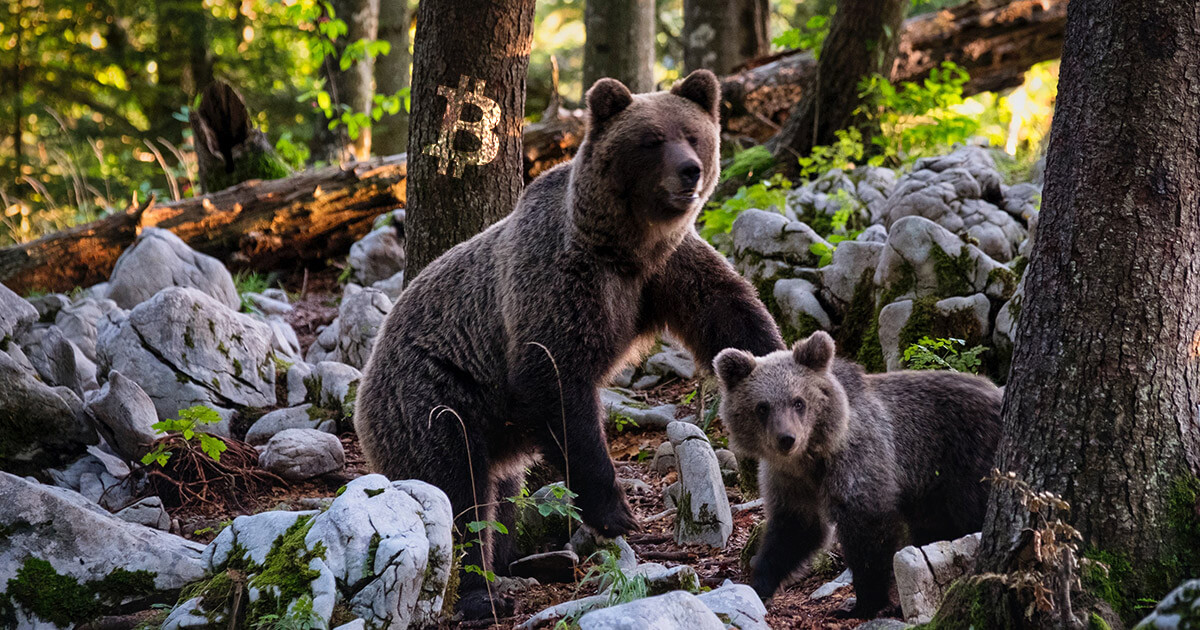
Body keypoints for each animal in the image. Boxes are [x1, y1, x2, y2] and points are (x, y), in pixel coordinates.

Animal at [355, 69, 785, 619]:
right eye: (651, 140)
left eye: (693, 135)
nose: (689, 171)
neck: (624, 248)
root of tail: (367, 375)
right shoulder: (559, 283)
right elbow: (557, 384)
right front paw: (615, 512)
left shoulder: (666, 271)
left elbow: (728, 312)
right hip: (436, 399)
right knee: (457, 493)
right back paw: (481, 591)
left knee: (500, 495)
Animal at [714, 331, 1002, 618]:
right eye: (762, 407)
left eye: (798, 402)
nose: (786, 439)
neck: (811, 458)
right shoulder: (789, 481)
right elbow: (794, 530)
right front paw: (759, 585)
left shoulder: (859, 459)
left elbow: (867, 529)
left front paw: (861, 603)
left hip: (968, 459)